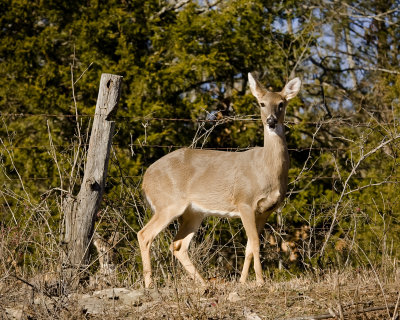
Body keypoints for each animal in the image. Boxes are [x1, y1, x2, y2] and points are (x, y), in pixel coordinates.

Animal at [138, 73, 300, 288]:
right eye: (262, 103)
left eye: (281, 104)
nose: (271, 121)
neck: (267, 170)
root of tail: (145, 178)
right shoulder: (245, 202)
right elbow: (255, 243)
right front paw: (260, 281)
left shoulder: (266, 210)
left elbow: (249, 246)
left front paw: (242, 281)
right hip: (168, 203)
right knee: (145, 234)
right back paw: (149, 284)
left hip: (193, 212)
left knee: (178, 244)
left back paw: (204, 283)